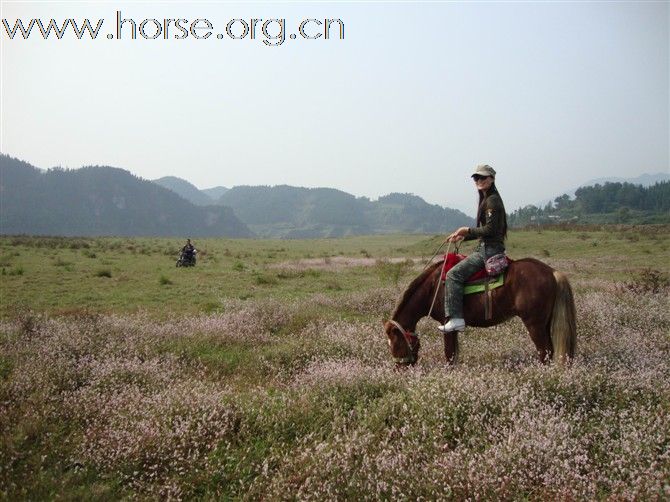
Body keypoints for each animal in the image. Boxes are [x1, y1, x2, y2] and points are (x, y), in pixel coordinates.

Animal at [386, 256, 580, 366]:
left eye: (396, 344)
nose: (399, 369)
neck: (433, 288)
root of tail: (553, 272)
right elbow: (454, 354)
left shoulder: (445, 323)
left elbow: (449, 354)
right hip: (545, 323)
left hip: (534, 324)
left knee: (544, 352)